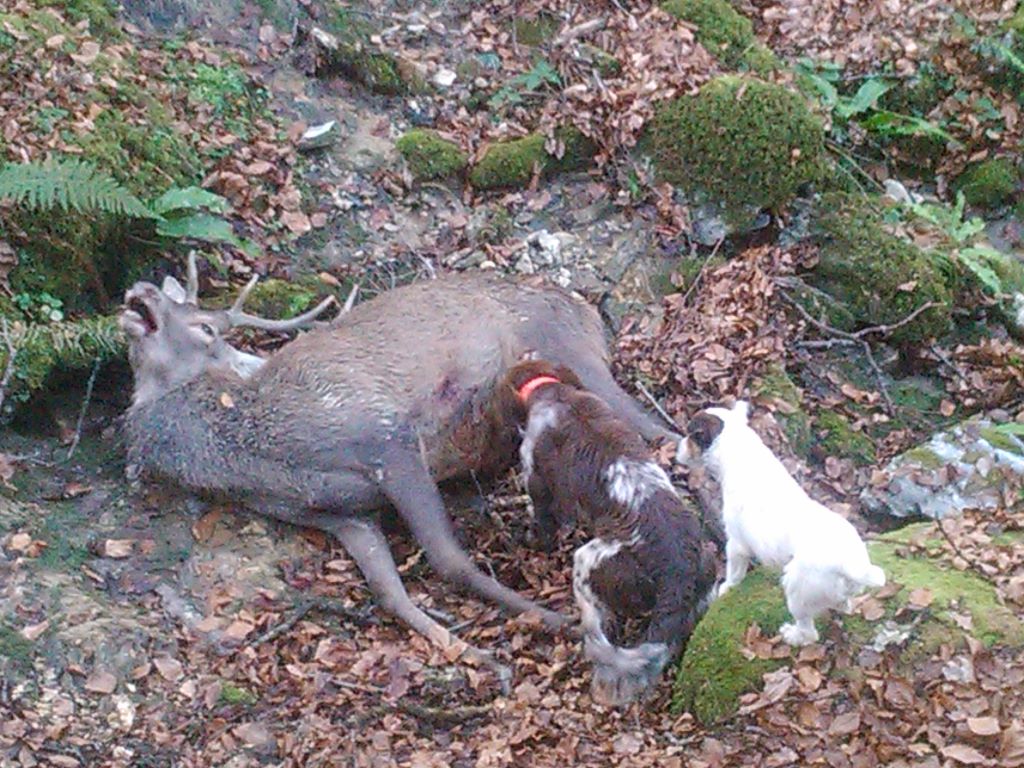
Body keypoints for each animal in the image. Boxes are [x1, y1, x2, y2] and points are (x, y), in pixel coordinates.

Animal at [675, 399, 884, 647]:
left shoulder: (736, 544)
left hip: (797, 592)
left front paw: (725, 587)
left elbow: (734, 573)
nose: (677, 449)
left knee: (809, 633)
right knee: (843, 605)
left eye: (690, 435)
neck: (739, 452)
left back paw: (791, 635)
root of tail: (853, 566)